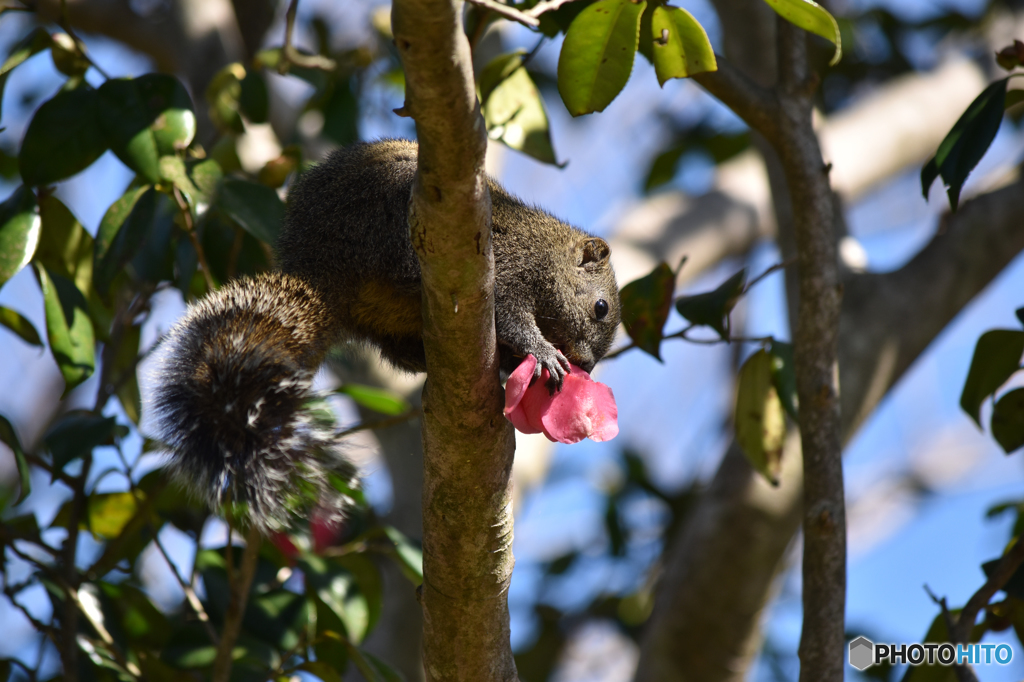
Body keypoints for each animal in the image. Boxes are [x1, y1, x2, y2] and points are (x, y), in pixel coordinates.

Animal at [148, 138, 618, 524]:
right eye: (601, 308)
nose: (586, 364)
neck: (545, 251)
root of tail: (321, 273)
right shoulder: (508, 269)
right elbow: (513, 317)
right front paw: (542, 352)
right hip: (385, 216)